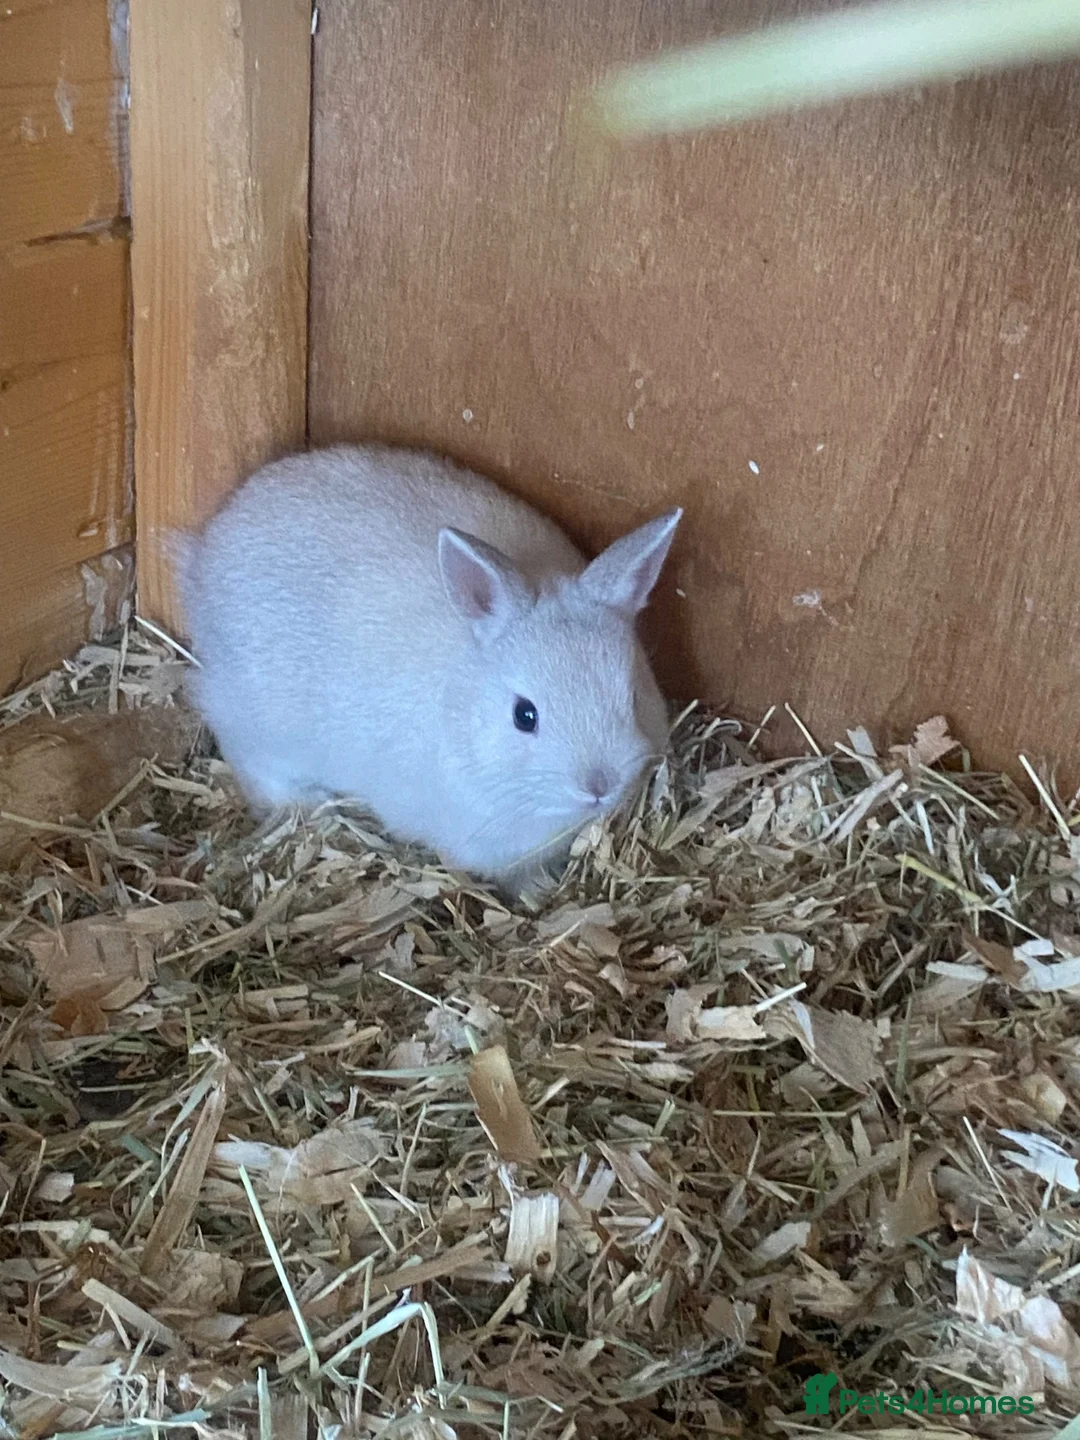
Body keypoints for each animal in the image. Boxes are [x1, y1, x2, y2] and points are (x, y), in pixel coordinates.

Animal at [177, 444, 681, 887]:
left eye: (632, 696)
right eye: (525, 716)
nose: (599, 784)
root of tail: (206, 550)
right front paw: (536, 892)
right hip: (259, 725)